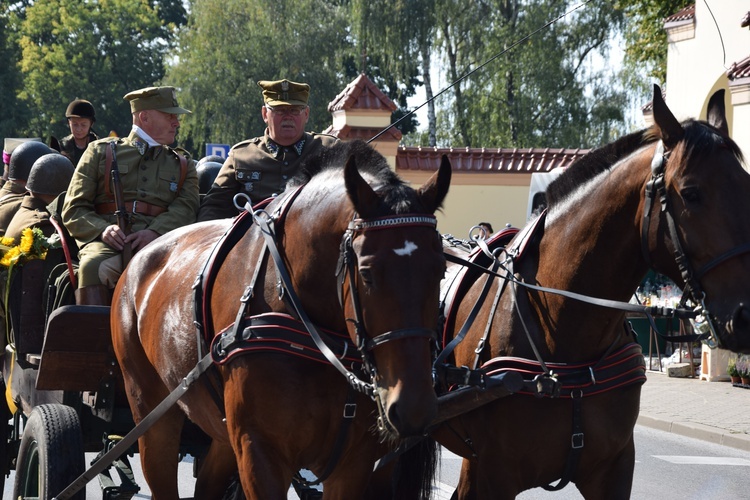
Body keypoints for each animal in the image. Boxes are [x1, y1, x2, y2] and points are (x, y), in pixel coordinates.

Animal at [111, 140, 452, 500]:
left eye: (441, 271)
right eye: (367, 273)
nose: (415, 407)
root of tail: (137, 260)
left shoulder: (353, 464)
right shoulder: (259, 451)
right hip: (152, 414)